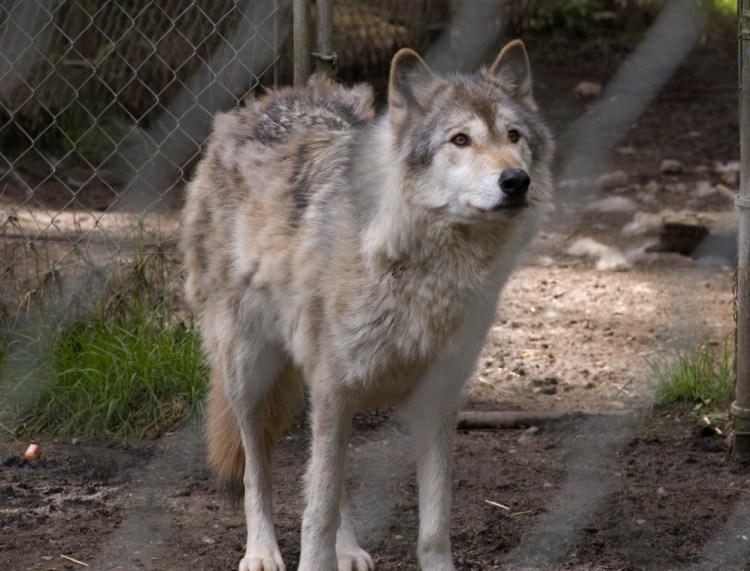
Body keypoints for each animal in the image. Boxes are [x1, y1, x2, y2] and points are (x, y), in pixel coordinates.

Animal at [181, 40, 553, 571]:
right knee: (259, 470)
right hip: (249, 372)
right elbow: (314, 515)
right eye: (460, 140)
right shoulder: (334, 390)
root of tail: (267, 100)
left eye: (514, 135)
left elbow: (433, 525)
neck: (422, 271)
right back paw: (262, 552)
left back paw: (350, 549)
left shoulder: (436, 398)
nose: (516, 180)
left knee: (331, 482)